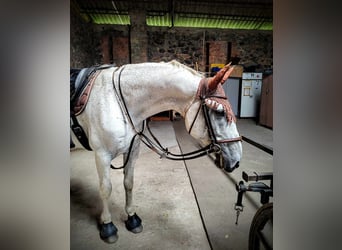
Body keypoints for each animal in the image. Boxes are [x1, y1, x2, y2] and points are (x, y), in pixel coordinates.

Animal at [71, 59, 243, 243]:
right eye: (219, 112)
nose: (237, 159)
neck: (117, 102)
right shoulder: (102, 155)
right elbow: (105, 189)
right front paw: (107, 226)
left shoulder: (132, 150)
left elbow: (128, 183)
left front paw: (132, 218)